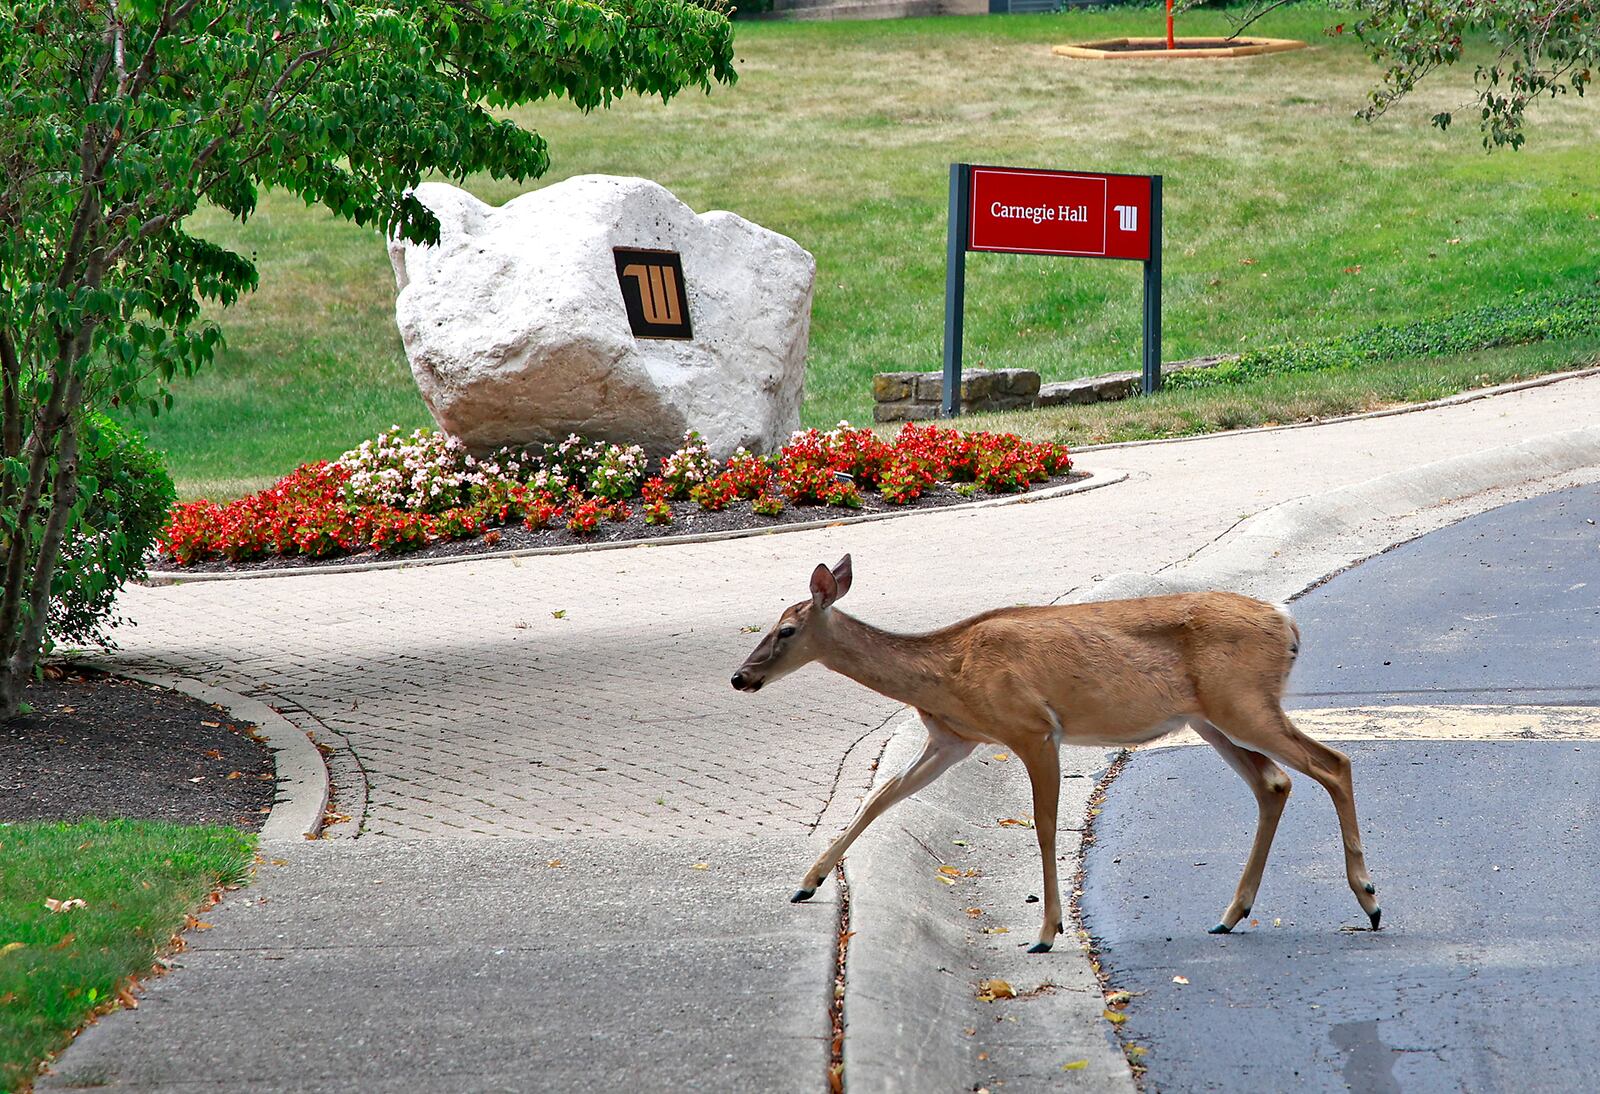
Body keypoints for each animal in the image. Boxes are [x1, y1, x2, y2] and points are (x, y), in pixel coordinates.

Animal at [732, 556, 1382, 946]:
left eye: (787, 630)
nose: (740, 677)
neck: (946, 671)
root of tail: (1287, 620)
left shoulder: (1033, 729)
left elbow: (1044, 824)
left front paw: (1046, 931)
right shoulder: (954, 739)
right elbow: (879, 799)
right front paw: (807, 882)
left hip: (1242, 703)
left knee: (1333, 763)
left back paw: (1370, 900)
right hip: (1211, 718)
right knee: (1275, 783)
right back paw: (1230, 914)